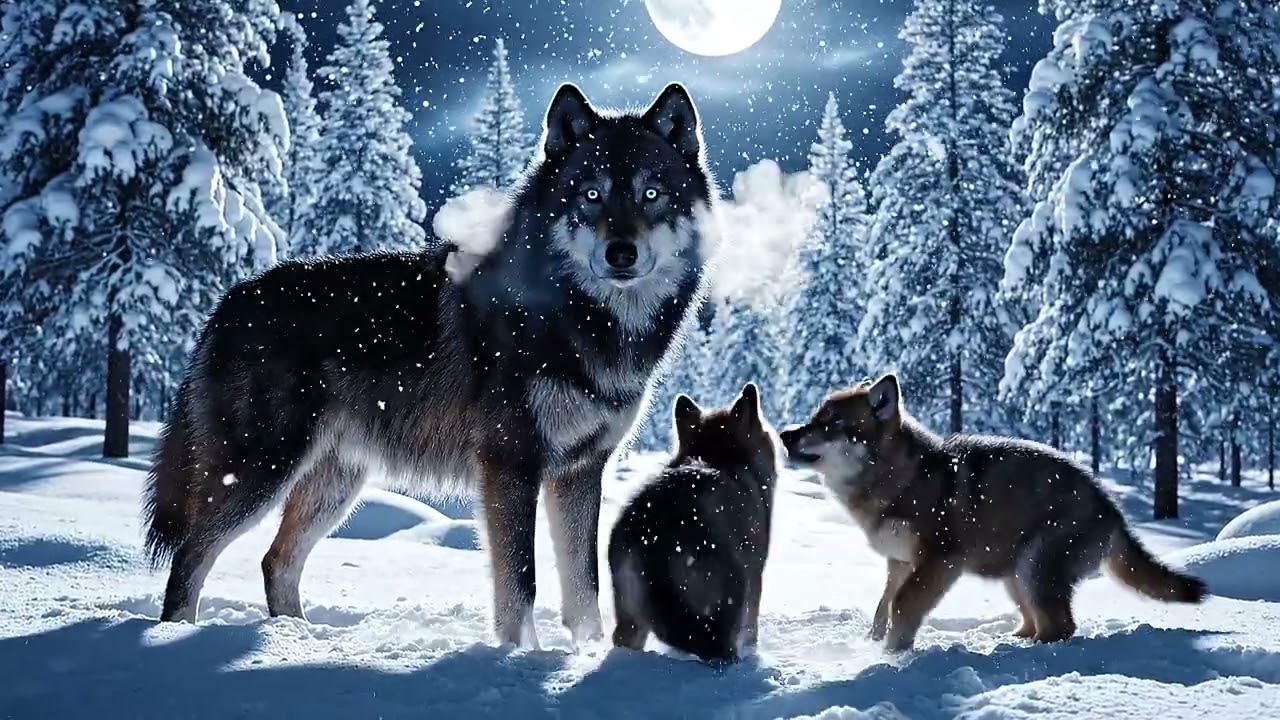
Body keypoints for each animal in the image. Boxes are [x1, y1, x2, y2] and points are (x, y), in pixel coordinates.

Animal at [141, 81, 717, 649]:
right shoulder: (510, 463)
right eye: (591, 194)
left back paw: (295, 640)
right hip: (262, 471)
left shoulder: (581, 470)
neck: (585, 321)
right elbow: (521, 582)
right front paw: (521, 657)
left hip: (336, 484)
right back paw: (176, 637)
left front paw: (589, 655)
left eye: (651, 193)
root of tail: (230, 300)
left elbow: (585, 588)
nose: (621, 253)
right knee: (191, 554)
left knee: (275, 560)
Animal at [608, 383, 780, 664]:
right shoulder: (756, 577)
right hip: (733, 591)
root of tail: (655, 536)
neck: (717, 456)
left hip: (630, 621)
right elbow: (751, 633)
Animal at [779, 373, 1208, 652]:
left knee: (1061, 628)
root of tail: (1113, 508)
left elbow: (902, 606)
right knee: (1037, 623)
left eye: (831, 424)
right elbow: (882, 608)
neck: (900, 480)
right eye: (814, 418)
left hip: (1032, 571)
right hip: (1016, 580)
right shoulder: (898, 563)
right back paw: (1008, 641)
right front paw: (874, 645)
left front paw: (891, 656)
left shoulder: (940, 561)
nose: (784, 434)